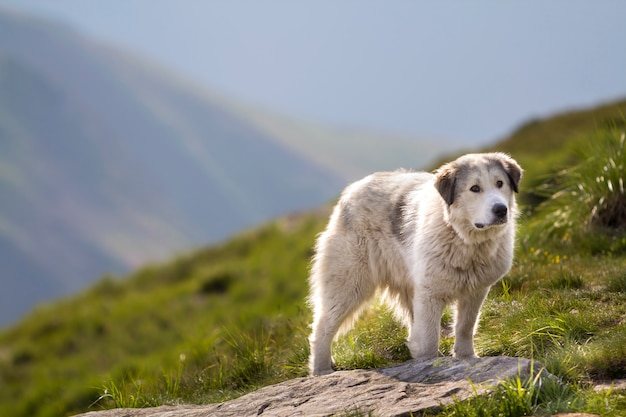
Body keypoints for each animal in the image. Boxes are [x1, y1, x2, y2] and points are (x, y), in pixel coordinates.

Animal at [304, 152, 520, 374]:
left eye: (500, 183)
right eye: (475, 188)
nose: (501, 210)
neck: (461, 237)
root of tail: (352, 190)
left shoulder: (475, 291)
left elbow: (465, 327)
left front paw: (466, 357)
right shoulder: (429, 294)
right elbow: (430, 338)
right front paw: (430, 363)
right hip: (349, 284)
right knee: (322, 329)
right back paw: (322, 370)